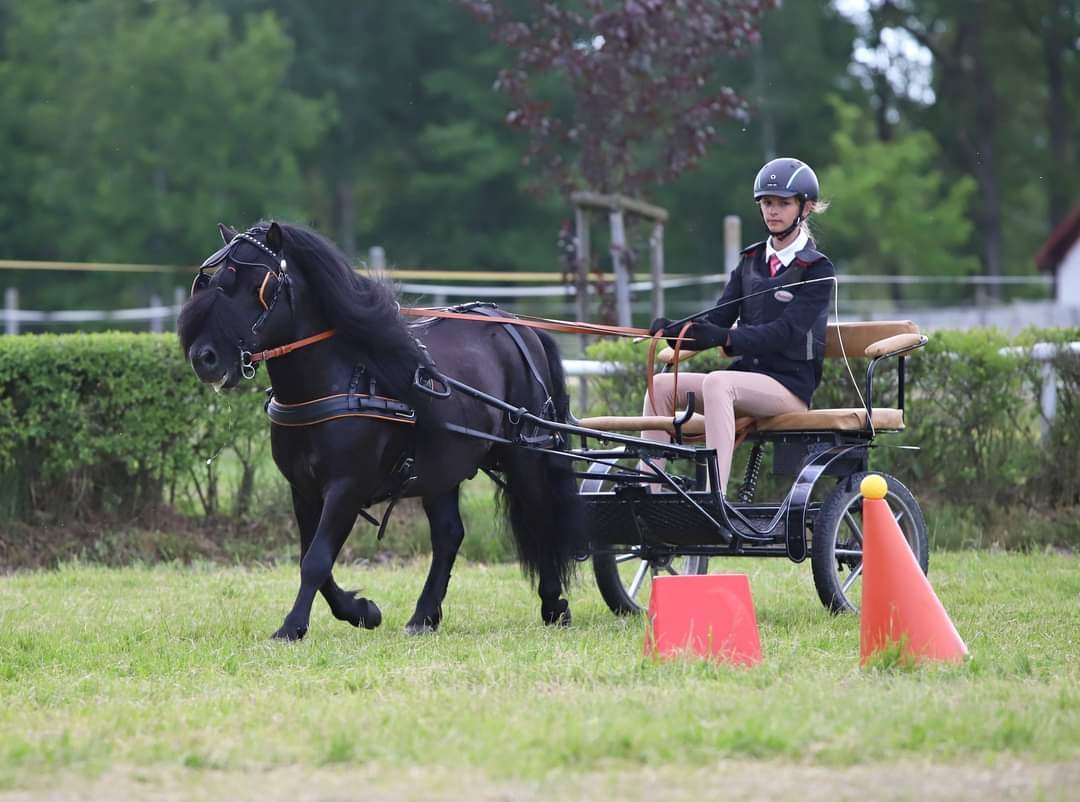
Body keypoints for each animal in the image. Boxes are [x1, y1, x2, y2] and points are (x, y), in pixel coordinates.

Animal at [179, 222, 583, 643]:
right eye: (210, 283)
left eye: (259, 284)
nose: (204, 358)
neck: (335, 383)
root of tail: (518, 328)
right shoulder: (303, 488)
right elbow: (313, 558)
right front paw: (361, 611)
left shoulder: (346, 486)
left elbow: (317, 559)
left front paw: (292, 626)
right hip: (440, 467)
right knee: (449, 535)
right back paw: (423, 616)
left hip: (525, 453)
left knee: (539, 515)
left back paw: (553, 604)